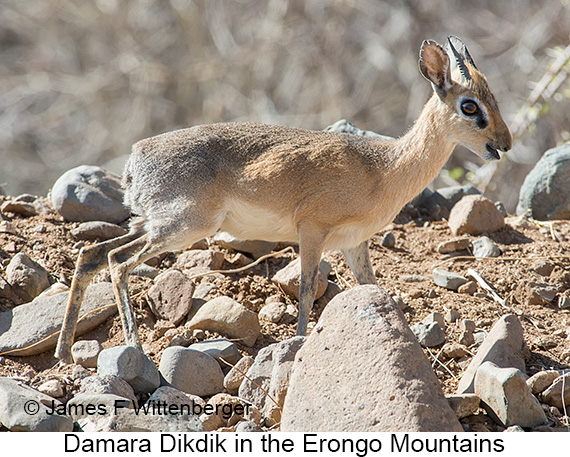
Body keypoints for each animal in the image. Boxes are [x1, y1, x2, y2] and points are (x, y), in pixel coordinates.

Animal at [55, 35, 510, 362]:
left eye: (493, 97)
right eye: (470, 106)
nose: (503, 143)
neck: (382, 168)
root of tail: (137, 157)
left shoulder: (354, 243)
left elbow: (375, 290)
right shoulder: (312, 231)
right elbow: (307, 290)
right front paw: (298, 343)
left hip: (152, 224)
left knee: (92, 254)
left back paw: (64, 351)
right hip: (183, 228)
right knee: (117, 261)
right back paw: (132, 345)